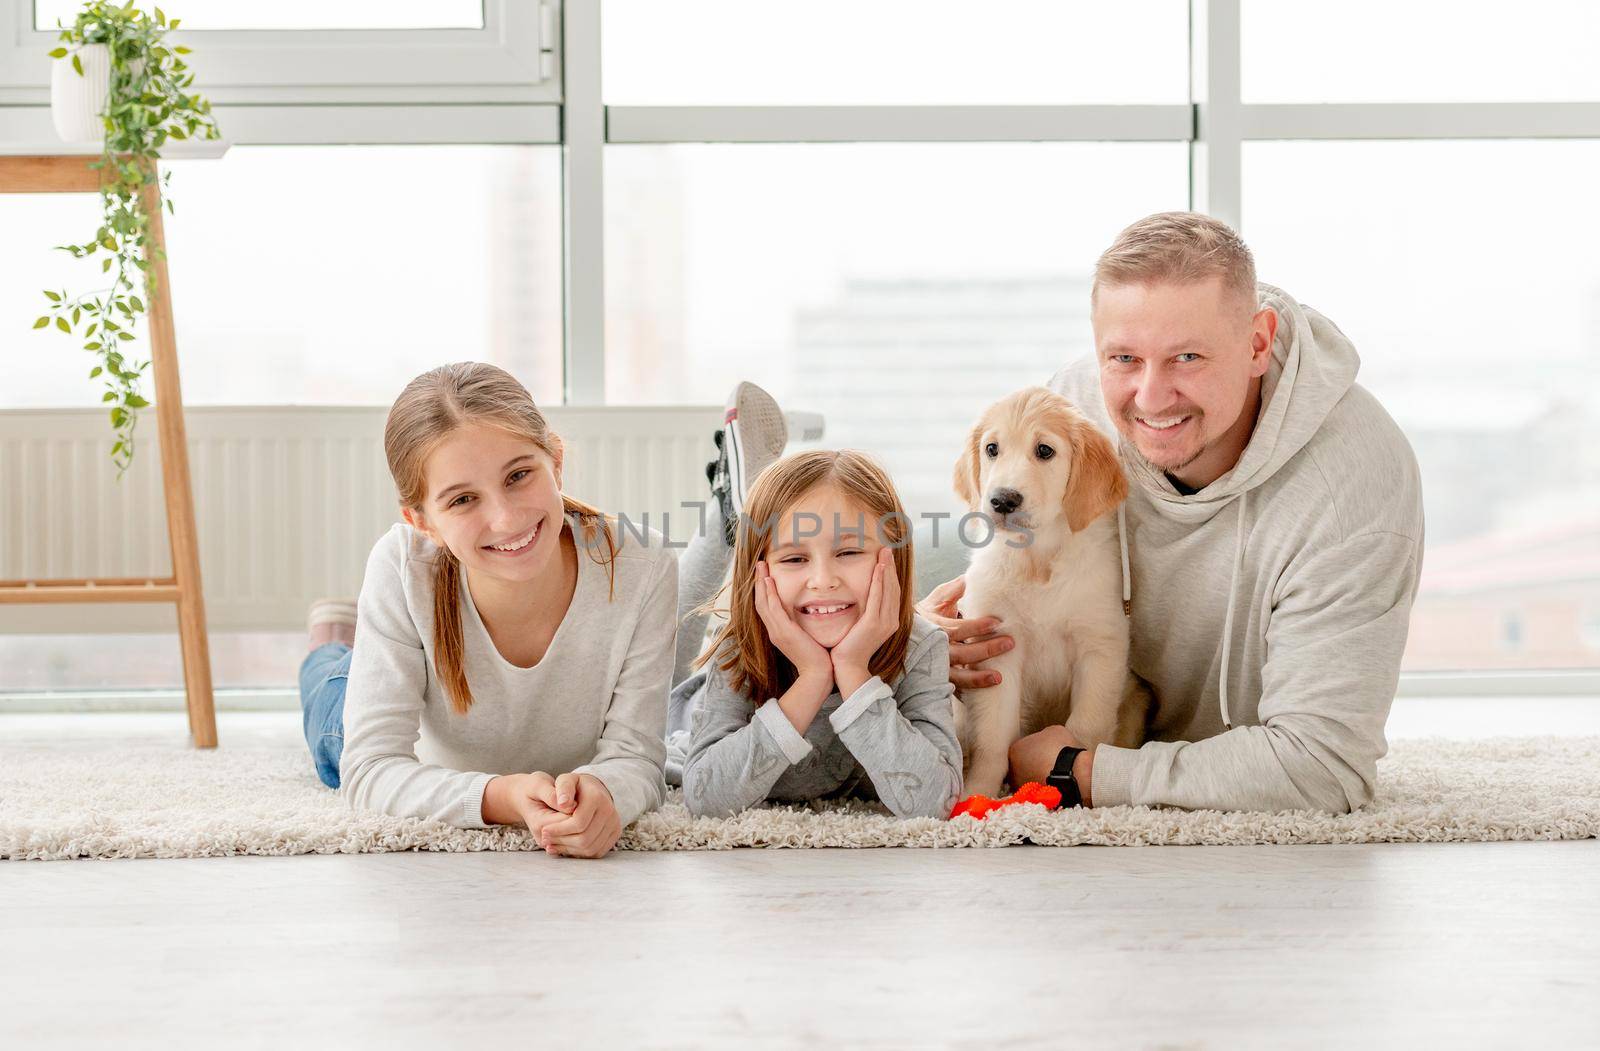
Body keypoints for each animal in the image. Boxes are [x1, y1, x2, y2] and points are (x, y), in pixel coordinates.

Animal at [947, 385, 1152, 796]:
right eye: (992, 449)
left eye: (1044, 450)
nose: (1002, 500)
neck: (1037, 559)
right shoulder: (999, 653)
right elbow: (993, 737)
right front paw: (980, 789)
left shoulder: (1099, 647)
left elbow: (1086, 726)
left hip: (1135, 700)